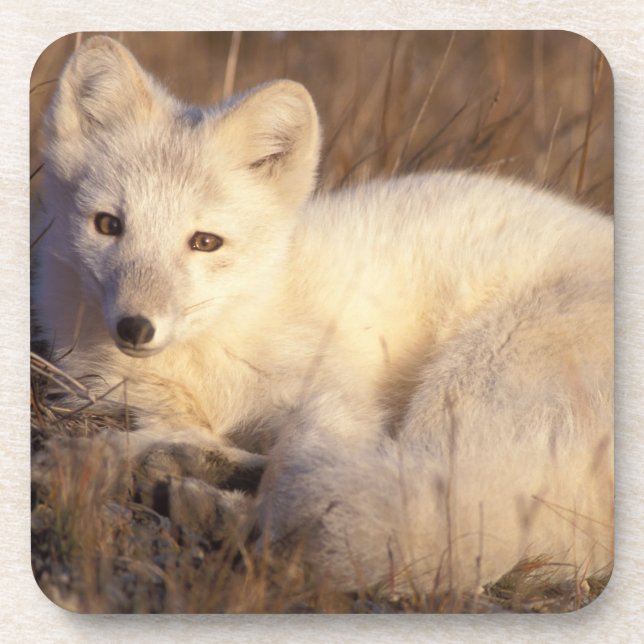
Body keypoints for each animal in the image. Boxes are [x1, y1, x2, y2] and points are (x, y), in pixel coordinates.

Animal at [34, 36, 613, 596]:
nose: (136, 327)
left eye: (205, 242)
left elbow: (295, 465)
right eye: (108, 225)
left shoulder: (333, 398)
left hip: (470, 386)